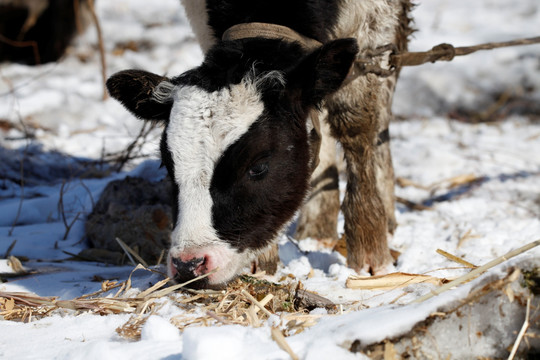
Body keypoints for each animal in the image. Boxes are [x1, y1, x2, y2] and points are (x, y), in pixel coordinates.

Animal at [105, 0, 412, 286]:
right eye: (168, 166)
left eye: (259, 167)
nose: (188, 265)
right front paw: (263, 260)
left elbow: (356, 120)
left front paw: (370, 251)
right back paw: (318, 228)